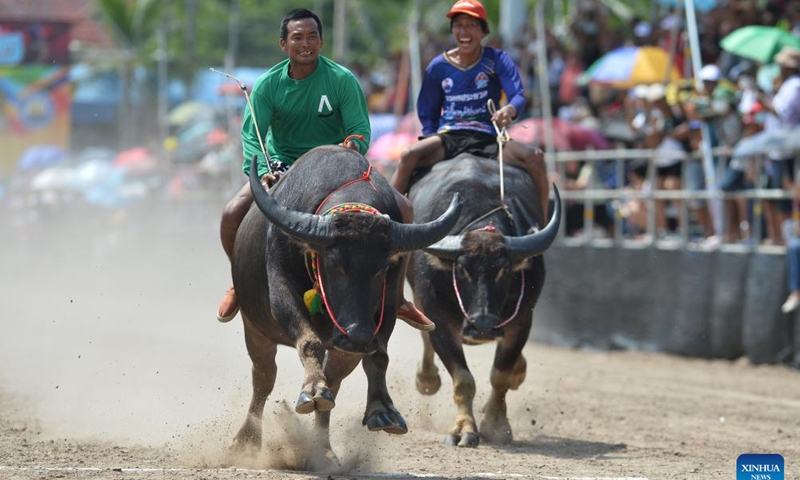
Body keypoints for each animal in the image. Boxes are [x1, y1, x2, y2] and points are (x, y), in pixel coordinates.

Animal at [228, 145, 460, 462]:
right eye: (335, 264)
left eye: (381, 268)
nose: (357, 335)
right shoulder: (280, 290)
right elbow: (308, 342)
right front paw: (311, 390)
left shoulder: (387, 300)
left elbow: (379, 355)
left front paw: (382, 410)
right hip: (256, 328)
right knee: (263, 379)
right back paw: (247, 441)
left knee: (334, 381)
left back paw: (323, 450)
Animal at [410, 153, 560, 446]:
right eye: (462, 269)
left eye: (504, 270)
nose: (483, 326)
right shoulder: (439, 319)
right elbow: (463, 380)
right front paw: (464, 429)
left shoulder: (521, 321)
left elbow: (500, 376)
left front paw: (496, 424)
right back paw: (427, 379)